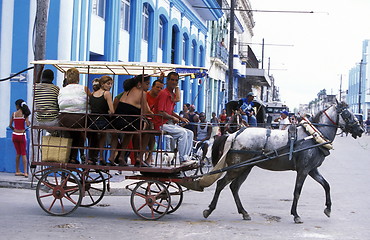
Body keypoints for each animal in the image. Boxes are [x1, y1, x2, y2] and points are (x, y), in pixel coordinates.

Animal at [205, 101, 364, 223]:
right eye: (347, 114)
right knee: (221, 184)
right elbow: (297, 192)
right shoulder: (303, 170)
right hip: (236, 167)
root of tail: (234, 135)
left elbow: (326, 185)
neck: (314, 135)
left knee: (234, 187)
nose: (361, 129)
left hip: (246, 167)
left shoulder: (312, 170)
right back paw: (209, 209)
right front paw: (296, 215)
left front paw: (328, 209)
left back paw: (244, 212)